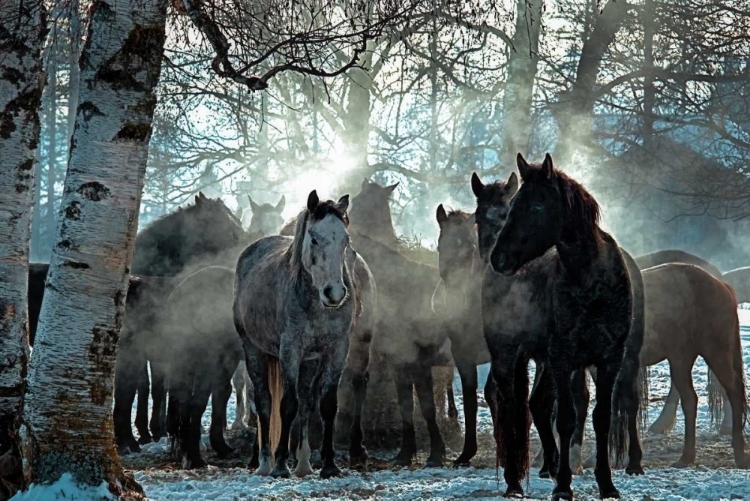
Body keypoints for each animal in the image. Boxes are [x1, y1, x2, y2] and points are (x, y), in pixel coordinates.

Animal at [490, 153, 636, 500]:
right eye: (513, 205)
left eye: (536, 206)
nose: (499, 258)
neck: (593, 283)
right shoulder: (563, 357)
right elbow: (567, 419)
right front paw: (564, 487)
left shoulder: (609, 359)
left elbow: (601, 418)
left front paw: (606, 484)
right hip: (507, 355)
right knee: (510, 411)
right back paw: (514, 482)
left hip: (543, 362)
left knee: (538, 405)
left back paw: (552, 468)